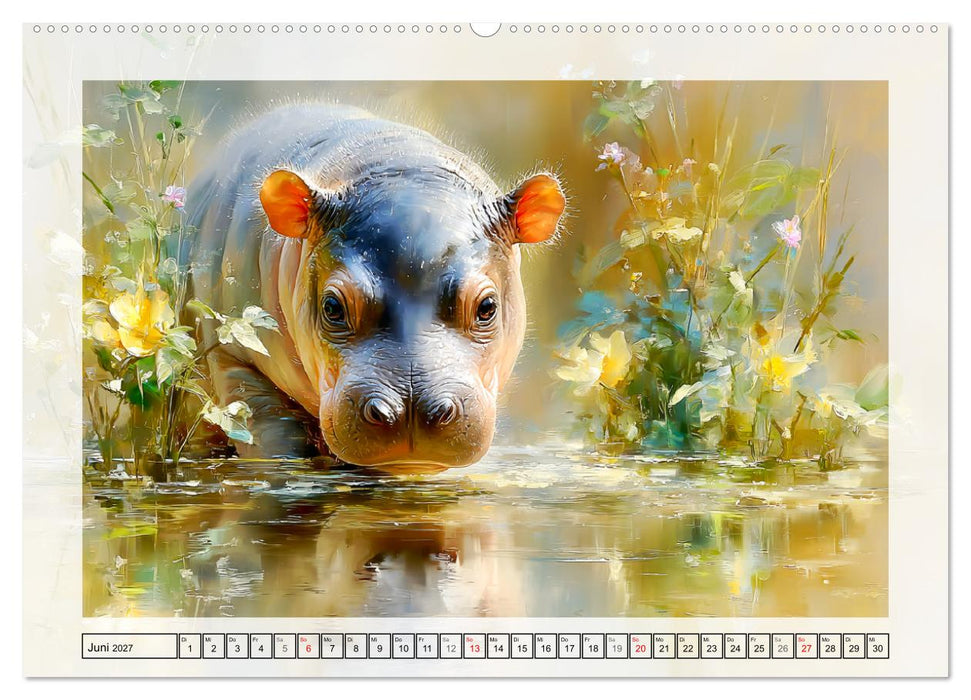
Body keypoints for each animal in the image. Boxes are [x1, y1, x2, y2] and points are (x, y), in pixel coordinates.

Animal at [185, 104, 565, 471]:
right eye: (332, 307)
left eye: (487, 307)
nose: (410, 409)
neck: (394, 158)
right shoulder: (231, 355)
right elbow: (275, 438)